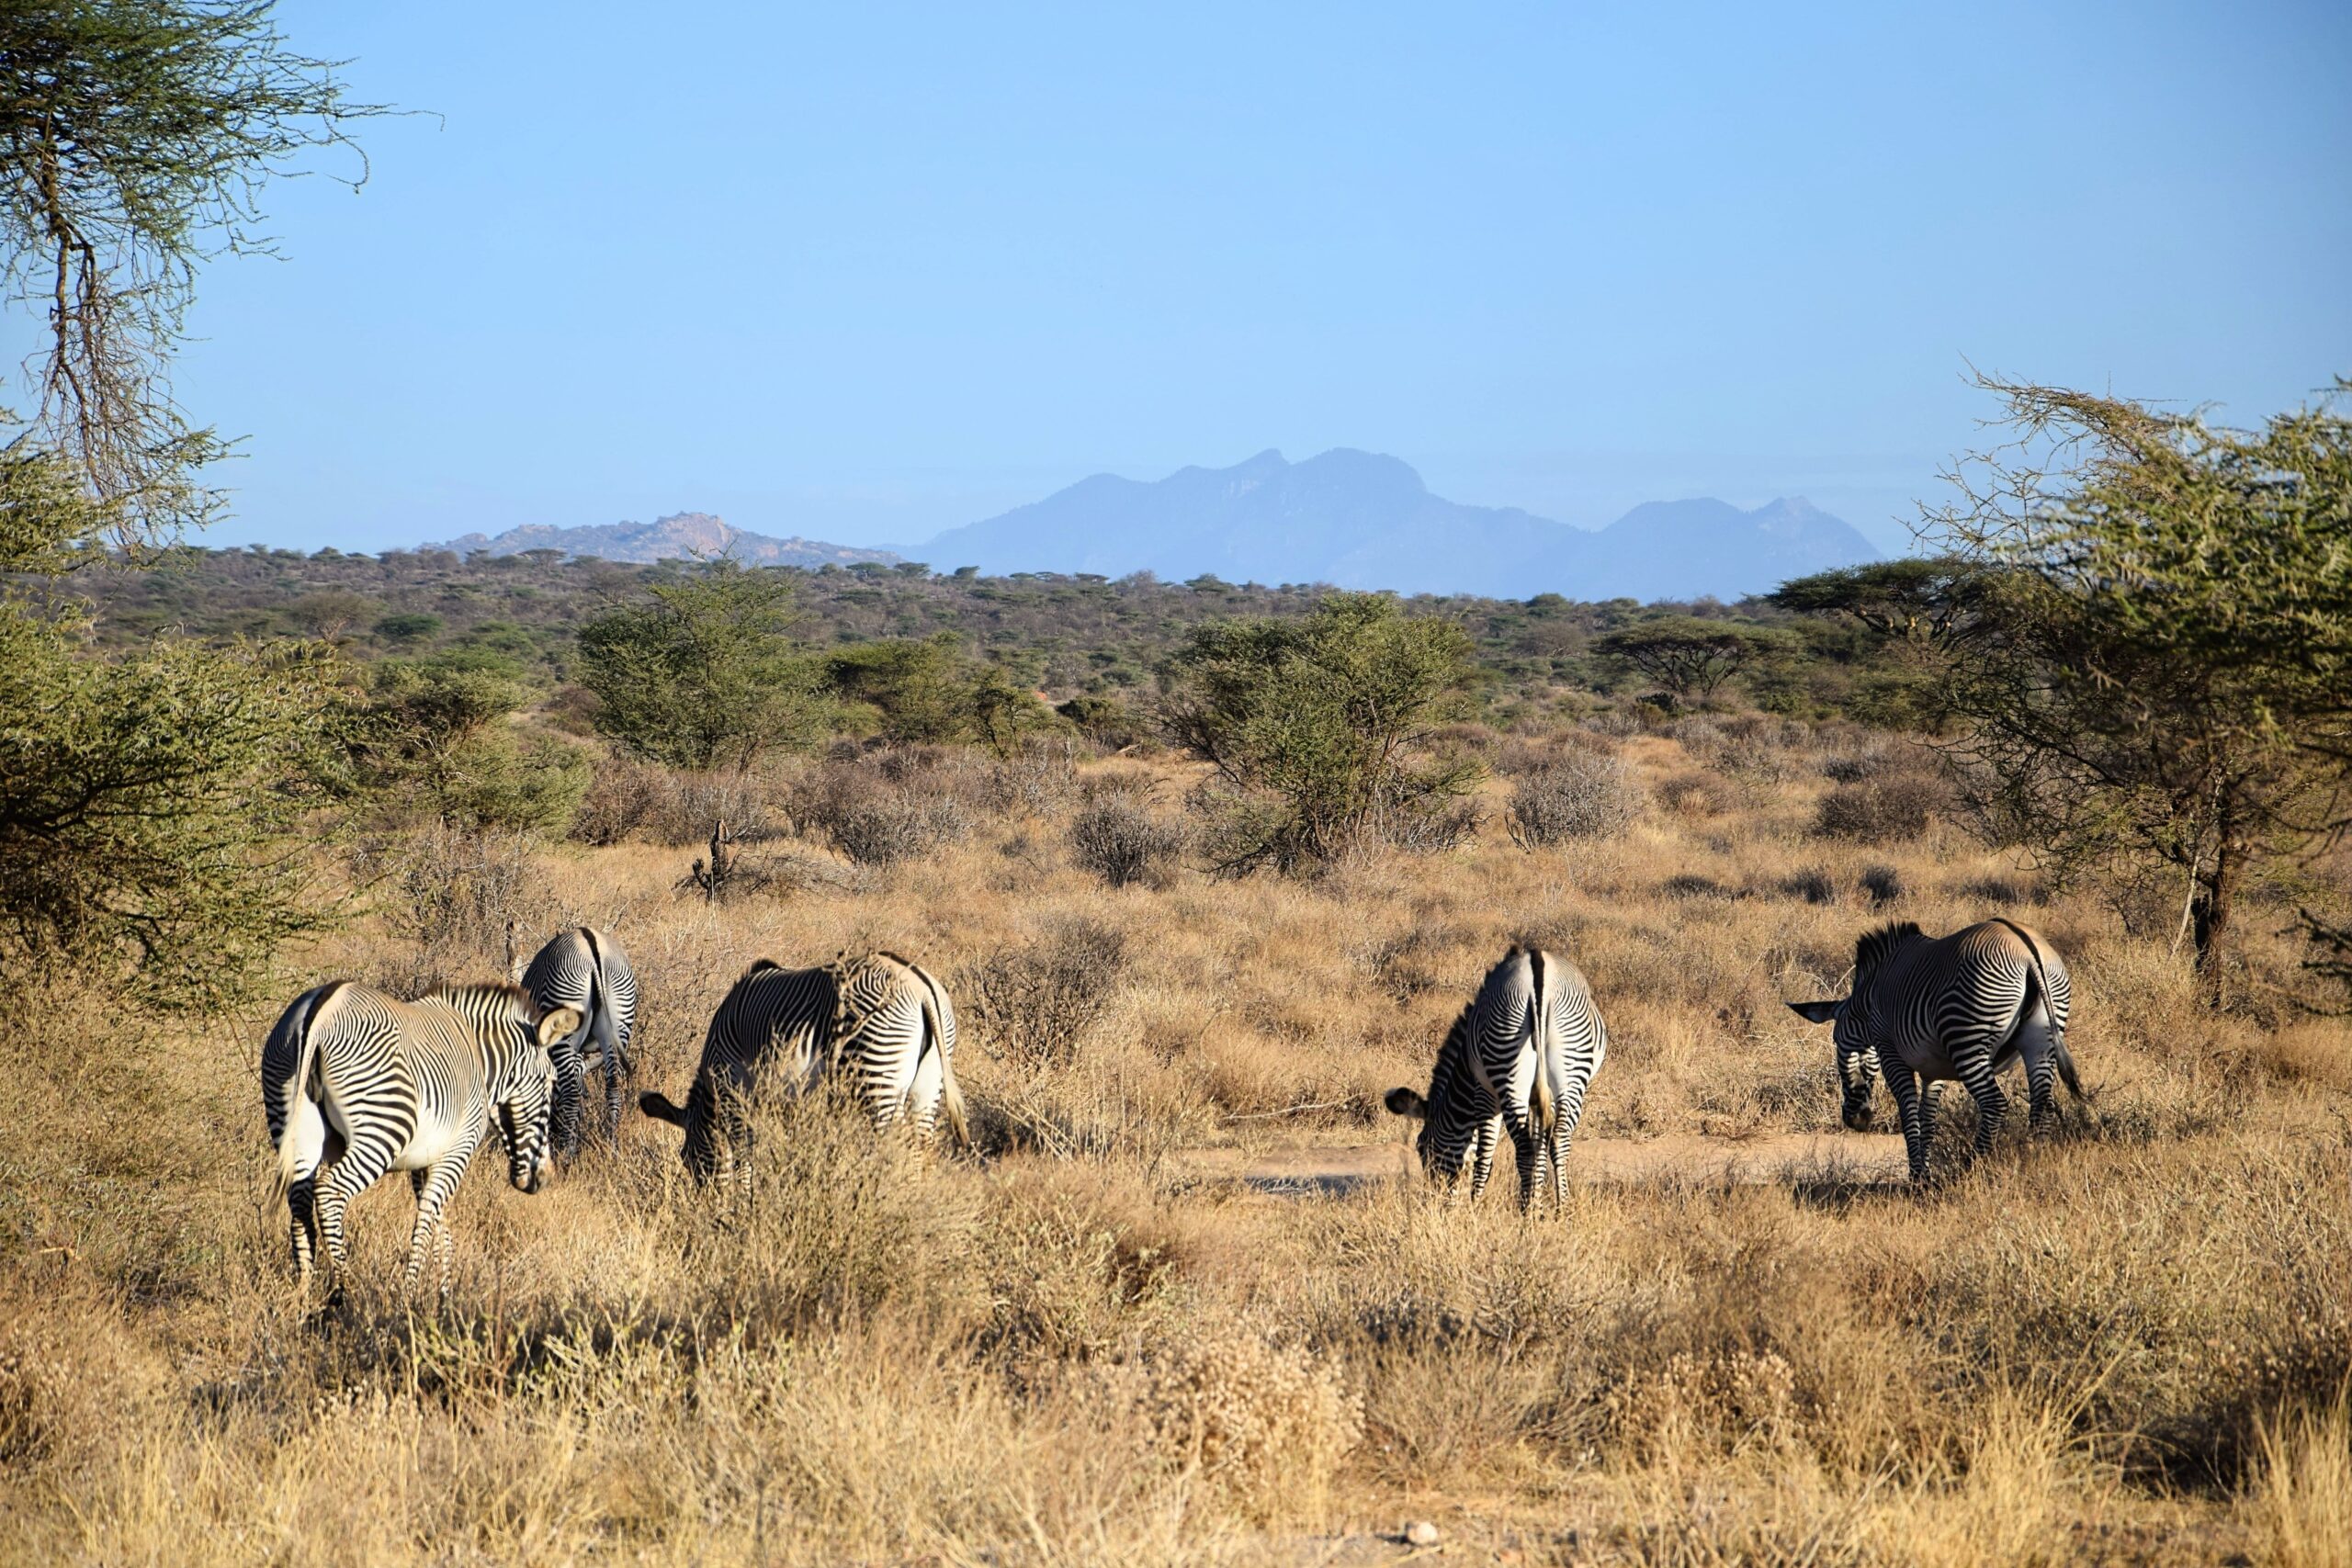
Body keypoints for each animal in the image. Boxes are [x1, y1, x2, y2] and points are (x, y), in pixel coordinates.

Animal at [263, 980, 576, 1294]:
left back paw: (304, 1295)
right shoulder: (456, 1153)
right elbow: (427, 1217)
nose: (544, 1178)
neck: (478, 1055)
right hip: (381, 1128)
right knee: (329, 1193)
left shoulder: (424, 1160)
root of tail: (320, 1014)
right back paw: (343, 1291)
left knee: (300, 1202)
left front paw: (442, 1293)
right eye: (552, 1081)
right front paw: (411, 1293)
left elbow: (441, 1228)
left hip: (292, 1118)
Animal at [520, 926, 639, 1159]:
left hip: (563, 1025)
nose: (552, 1140)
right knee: (613, 1086)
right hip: (618, 1026)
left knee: (571, 1094)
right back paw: (612, 1148)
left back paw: (567, 1155)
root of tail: (591, 942)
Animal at [639, 950, 969, 1181]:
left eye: (687, 1158)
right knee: (919, 1150)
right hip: (927, 1087)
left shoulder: (736, 1093)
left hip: (877, 1075)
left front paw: (743, 1207)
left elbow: (745, 1157)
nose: (706, 1207)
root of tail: (920, 986)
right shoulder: (793, 1105)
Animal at [1384, 945, 1607, 1210]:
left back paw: (1526, 1212)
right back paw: (1559, 1209)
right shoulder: (1542, 1097)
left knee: (1523, 1147)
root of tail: (1538, 968)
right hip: (1570, 1070)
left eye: (1421, 1146)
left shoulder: (1484, 1094)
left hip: (1508, 1062)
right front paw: (1537, 1201)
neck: (1465, 1069)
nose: (1435, 1201)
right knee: (1558, 1139)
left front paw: (1475, 1207)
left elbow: (1484, 1157)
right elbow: (1540, 1146)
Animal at [1787, 917, 2082, 1182]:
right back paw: (2034, 1163)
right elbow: (1927, 1119)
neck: (1867, 1004)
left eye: (1837, 1043)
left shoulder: (1890, 1053)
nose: (1856, 1120)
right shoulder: (1933, 1067)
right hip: (2041, 1040)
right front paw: (1925, 1174)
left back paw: (1971, 1168)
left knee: (1994, 1103)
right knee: (2042, 1105)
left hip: (1968, 1039)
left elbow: (1908, 1115)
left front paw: (1917, 1177)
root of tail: (2026, 950)